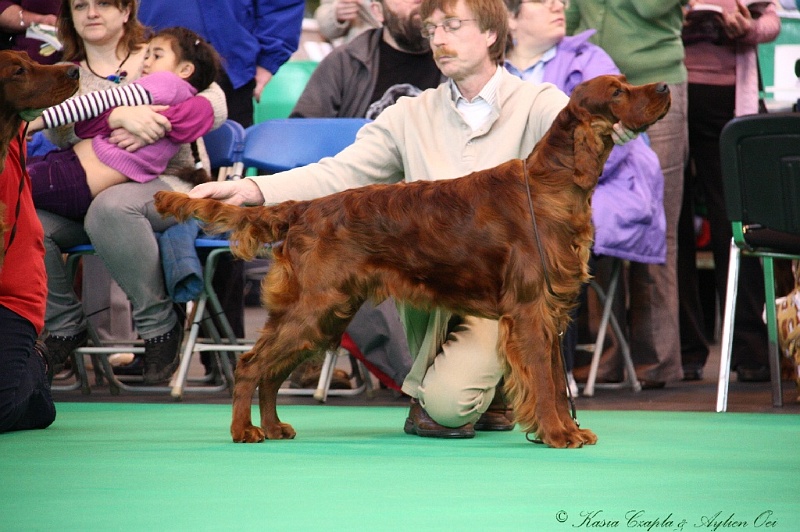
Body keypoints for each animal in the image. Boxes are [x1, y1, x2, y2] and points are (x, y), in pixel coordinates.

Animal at [155, 76, 668, 448]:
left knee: (271, 371)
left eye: (627, 82)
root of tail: (303, 208)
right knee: (250, 365)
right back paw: (245, 430)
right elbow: (545, 380)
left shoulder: (551, 311)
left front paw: (563, 429)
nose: (664, 87)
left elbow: (558, 383)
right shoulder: (530, 310)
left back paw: (274, 426)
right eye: (617, 91)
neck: (551, 185)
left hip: (322, 315)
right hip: (314, 309)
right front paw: (559, 434)